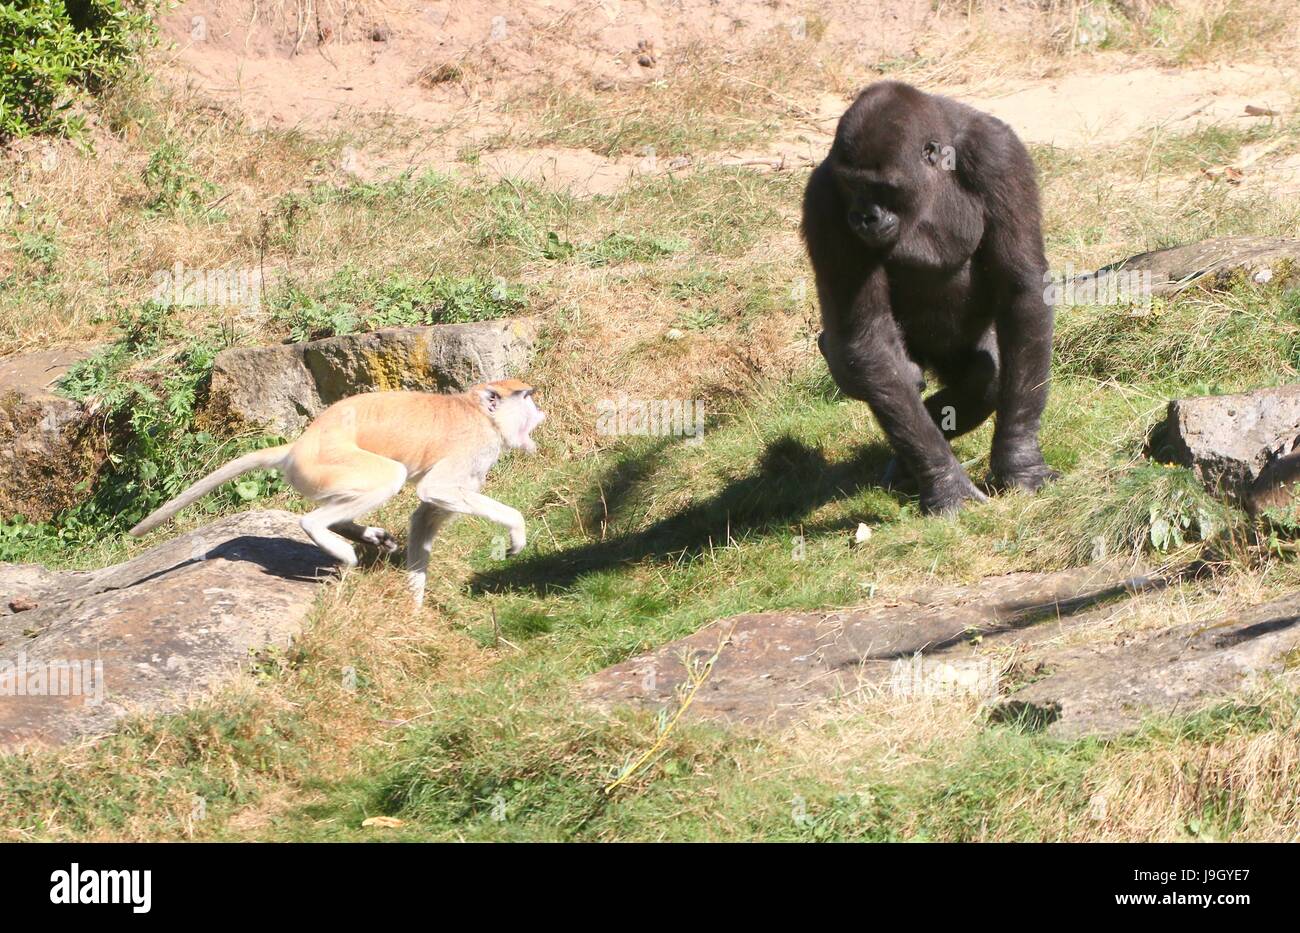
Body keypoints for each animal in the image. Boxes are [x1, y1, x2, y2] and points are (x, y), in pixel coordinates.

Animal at [126, 379, 543, 605]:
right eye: (526, 397)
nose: (539, 413)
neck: (479, 413)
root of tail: (298, 446)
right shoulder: (473, 448)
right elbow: (434, 489)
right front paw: (516, 532)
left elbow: (425, 516)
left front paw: (414, 604)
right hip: (330, 464)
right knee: (384, 479)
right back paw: (332, 539)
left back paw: (359, 533)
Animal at [800, 80, 1055, 514]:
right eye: (852, 186)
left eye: (882, 187)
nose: (864, 217)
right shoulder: (824, 202)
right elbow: (867, 339)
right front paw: (945, 481)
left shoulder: (999, 155)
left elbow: (1022, 289)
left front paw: (1019, 461)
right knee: (887, 371)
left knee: (983, 377)